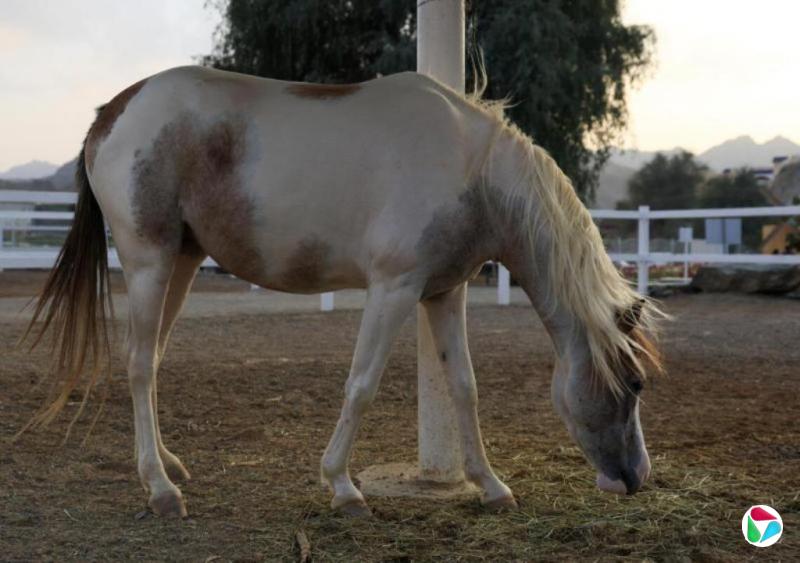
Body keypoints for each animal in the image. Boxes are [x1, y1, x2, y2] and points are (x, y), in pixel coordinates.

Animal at [22, 66, 663, 518]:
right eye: (635, 383)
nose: (636, 478)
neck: (472, 170)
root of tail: (112, 111)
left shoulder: (443, 293)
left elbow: (464, 388)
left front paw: (492, 486)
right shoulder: (394, 288)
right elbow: (361, 385)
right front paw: (342, 486)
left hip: (180, 263)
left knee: (152, 360)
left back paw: (169, 466)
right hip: (147, 262)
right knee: (136, 365)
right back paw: (159, 489)